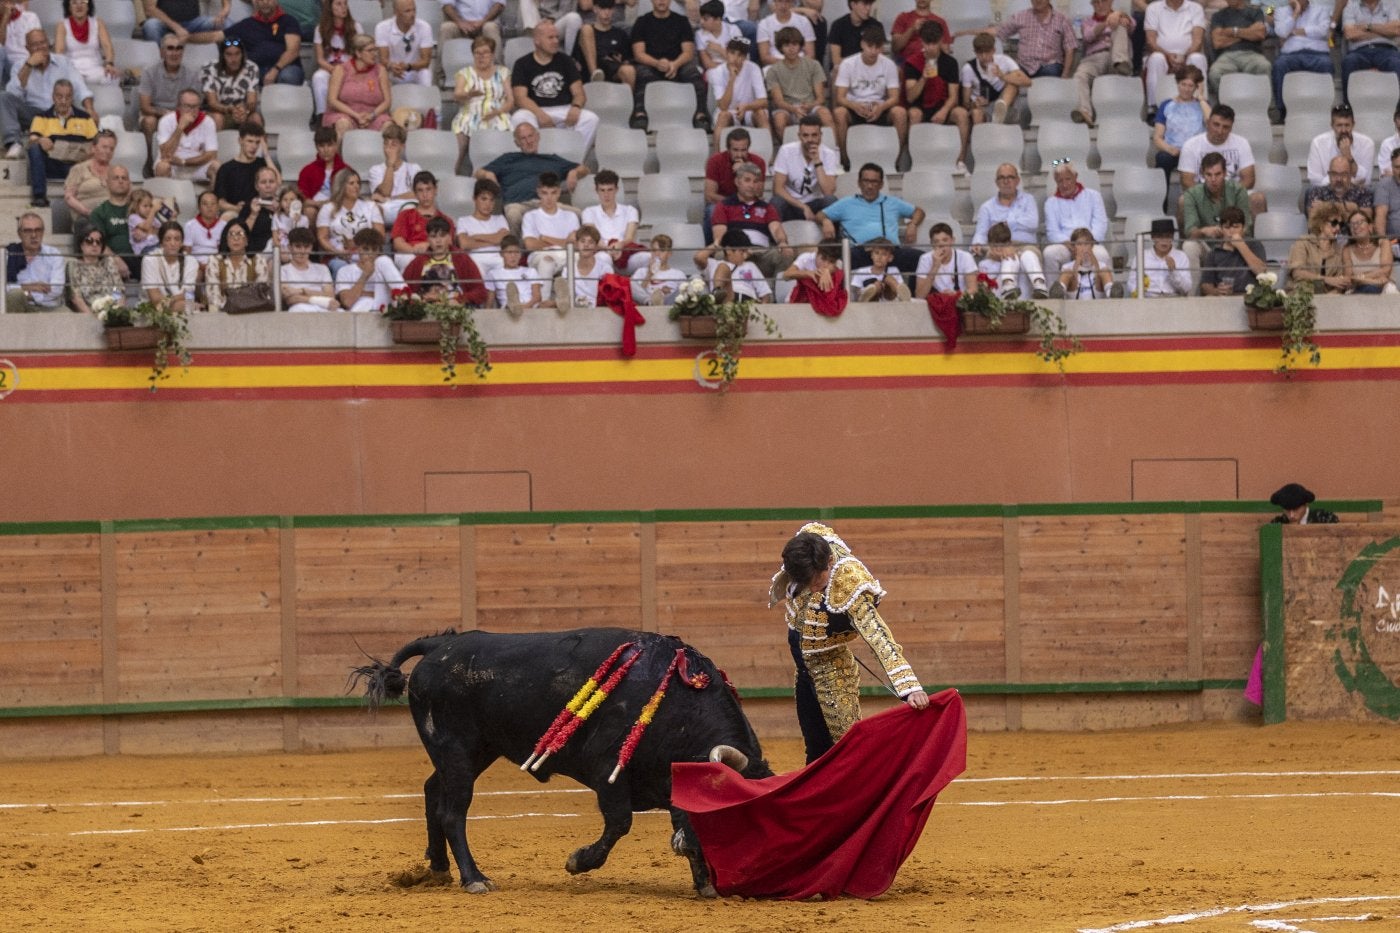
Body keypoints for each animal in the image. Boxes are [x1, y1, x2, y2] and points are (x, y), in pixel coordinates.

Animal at [345, 624, 772, 896]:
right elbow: (620, 823)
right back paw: (474, 878)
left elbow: (681, 826)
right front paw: (578, 861)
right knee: (453, 811)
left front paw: (705, 884)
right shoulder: (607, 771)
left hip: (472, 752)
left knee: (433, 791)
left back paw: (437, 868)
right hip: (457, 752)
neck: (678, 703)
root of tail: (438, 648)